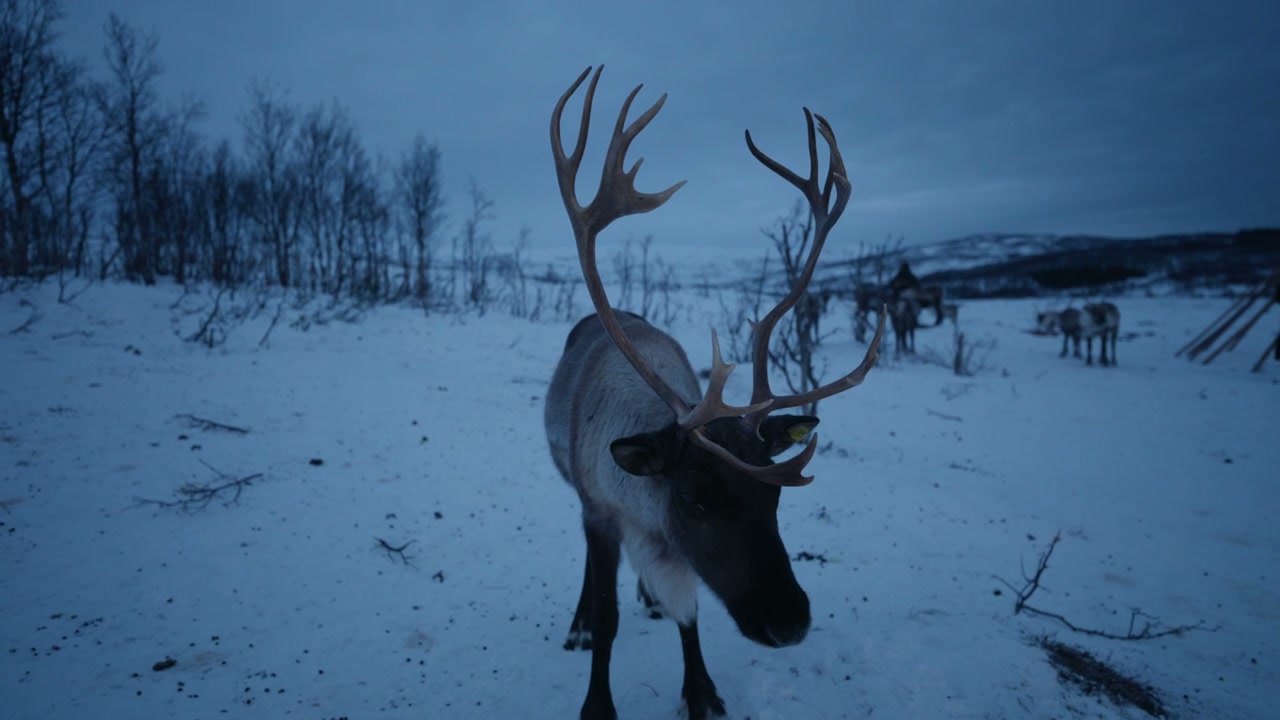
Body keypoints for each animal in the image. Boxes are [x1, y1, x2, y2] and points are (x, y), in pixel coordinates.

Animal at [545, 66, 885, 720]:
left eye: (775, 499)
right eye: (693, 502)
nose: (789, 623)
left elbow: (690, 612)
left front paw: (700, 691)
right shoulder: (600, 510)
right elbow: (607, 614)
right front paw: (597, 701)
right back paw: (578, 622)